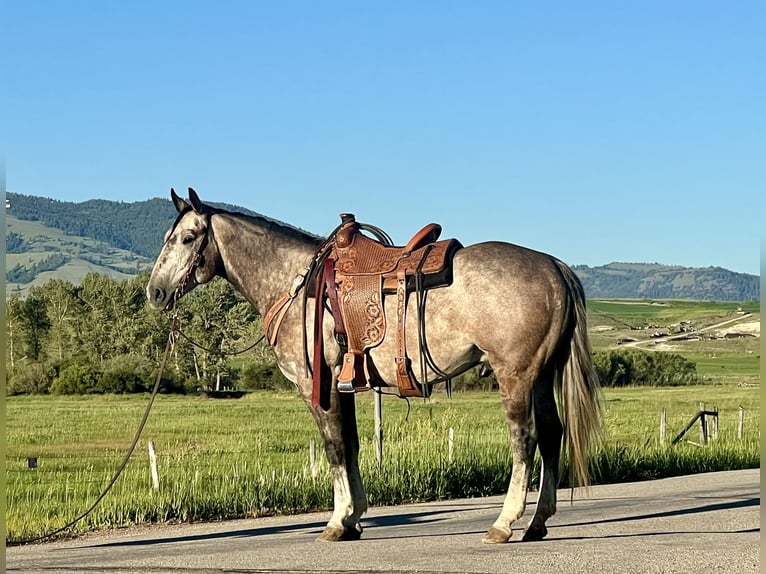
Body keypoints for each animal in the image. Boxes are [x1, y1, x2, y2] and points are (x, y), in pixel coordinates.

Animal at [147, 188, 604, 544]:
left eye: (188, 237)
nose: (154, 292)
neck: (297, 285)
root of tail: (554, 266)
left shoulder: (318, 387)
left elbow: (333, 448)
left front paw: (337, 520)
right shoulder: (342, 389)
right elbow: (350, 446)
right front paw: (353, 518)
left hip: (516, 376)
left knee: (525, 440)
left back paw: (505, 523)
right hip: (542, 376)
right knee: (552, 435)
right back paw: (537, 523)